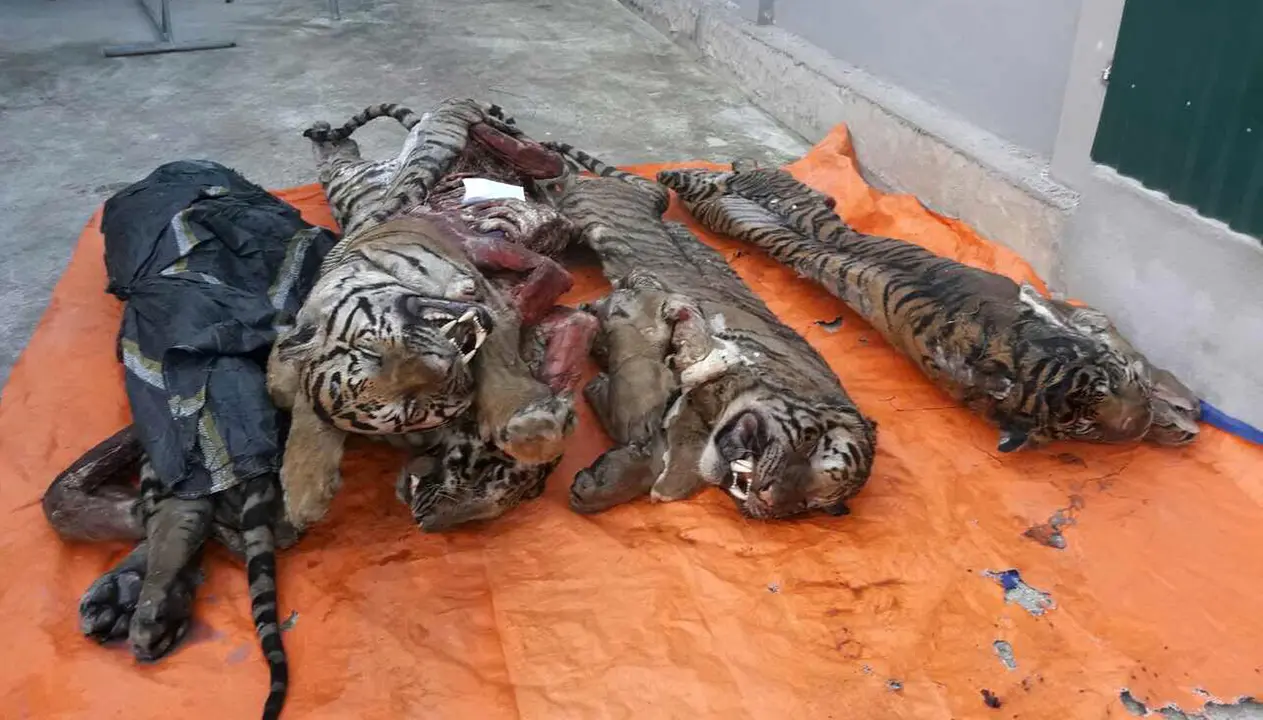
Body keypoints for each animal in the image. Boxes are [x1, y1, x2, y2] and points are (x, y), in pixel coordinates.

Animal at [657, 165, 1201, 451]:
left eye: (1110, 385)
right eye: (1085, 427)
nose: (1137, 426)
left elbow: (1123, 344)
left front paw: (1174, 405)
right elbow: (1119, 342)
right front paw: (1173, 419)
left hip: (755, 215)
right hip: (753, 215)